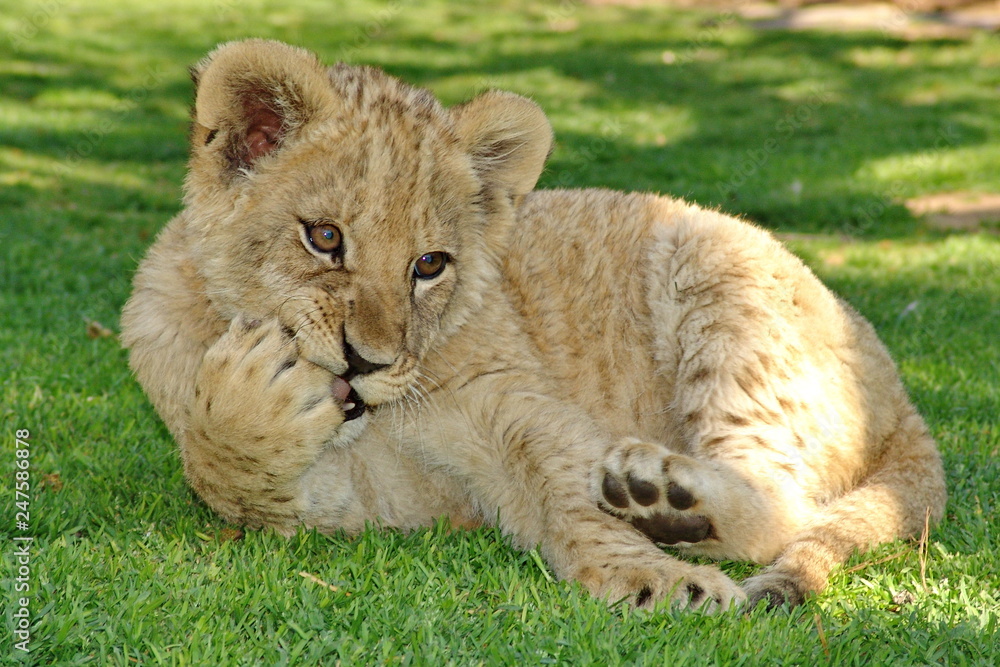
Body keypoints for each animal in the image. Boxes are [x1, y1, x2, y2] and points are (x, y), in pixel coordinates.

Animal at [120, 39, 946, 611]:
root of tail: (903, 398)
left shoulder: (512, 405)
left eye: (430, 263)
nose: (367, 362)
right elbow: (223, 473)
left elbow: (568, 488)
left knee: (786, 505)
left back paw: (662, 497)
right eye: (324, 237)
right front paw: (246, 403)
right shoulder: (373, 503)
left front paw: (657, 578)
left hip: (715, 276)